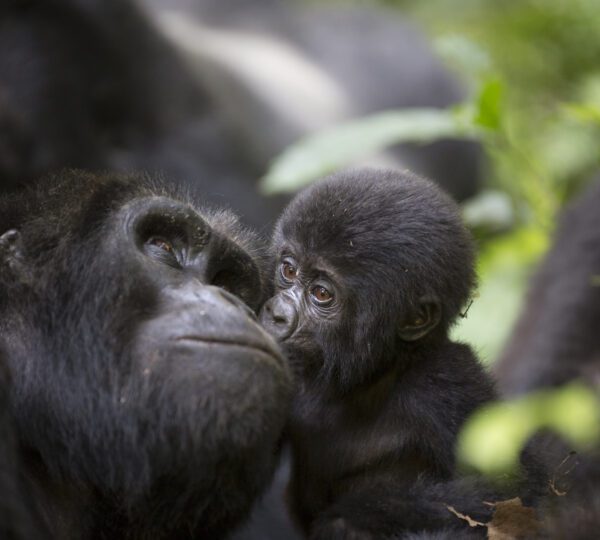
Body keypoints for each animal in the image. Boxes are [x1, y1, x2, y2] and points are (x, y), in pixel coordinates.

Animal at [262, 170, 496, 540]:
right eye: (288, 271)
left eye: (321, 293)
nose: (277, 314)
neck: (371, 377)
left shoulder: (447, 383)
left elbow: (512, 495)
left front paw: (351, 515)